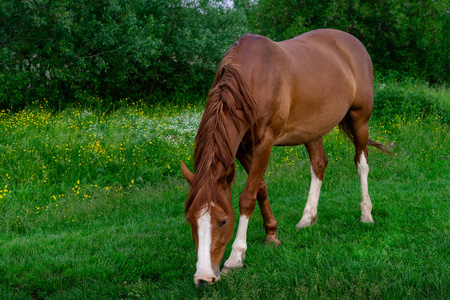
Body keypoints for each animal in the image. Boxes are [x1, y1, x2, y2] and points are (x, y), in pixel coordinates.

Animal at [179, 29, 390, 288]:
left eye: (223, 221)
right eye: (191, 220)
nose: (203, 277)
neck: (250, 80)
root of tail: (353, 42)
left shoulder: (264, 142)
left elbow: (247, 197)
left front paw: (236, 257)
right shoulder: (242, 148)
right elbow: (260, 188)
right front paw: (272, 235)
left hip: (360, 119)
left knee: (362, 164)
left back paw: (366, 214)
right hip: (312, 129)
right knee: (319, 164)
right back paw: (307, 218)